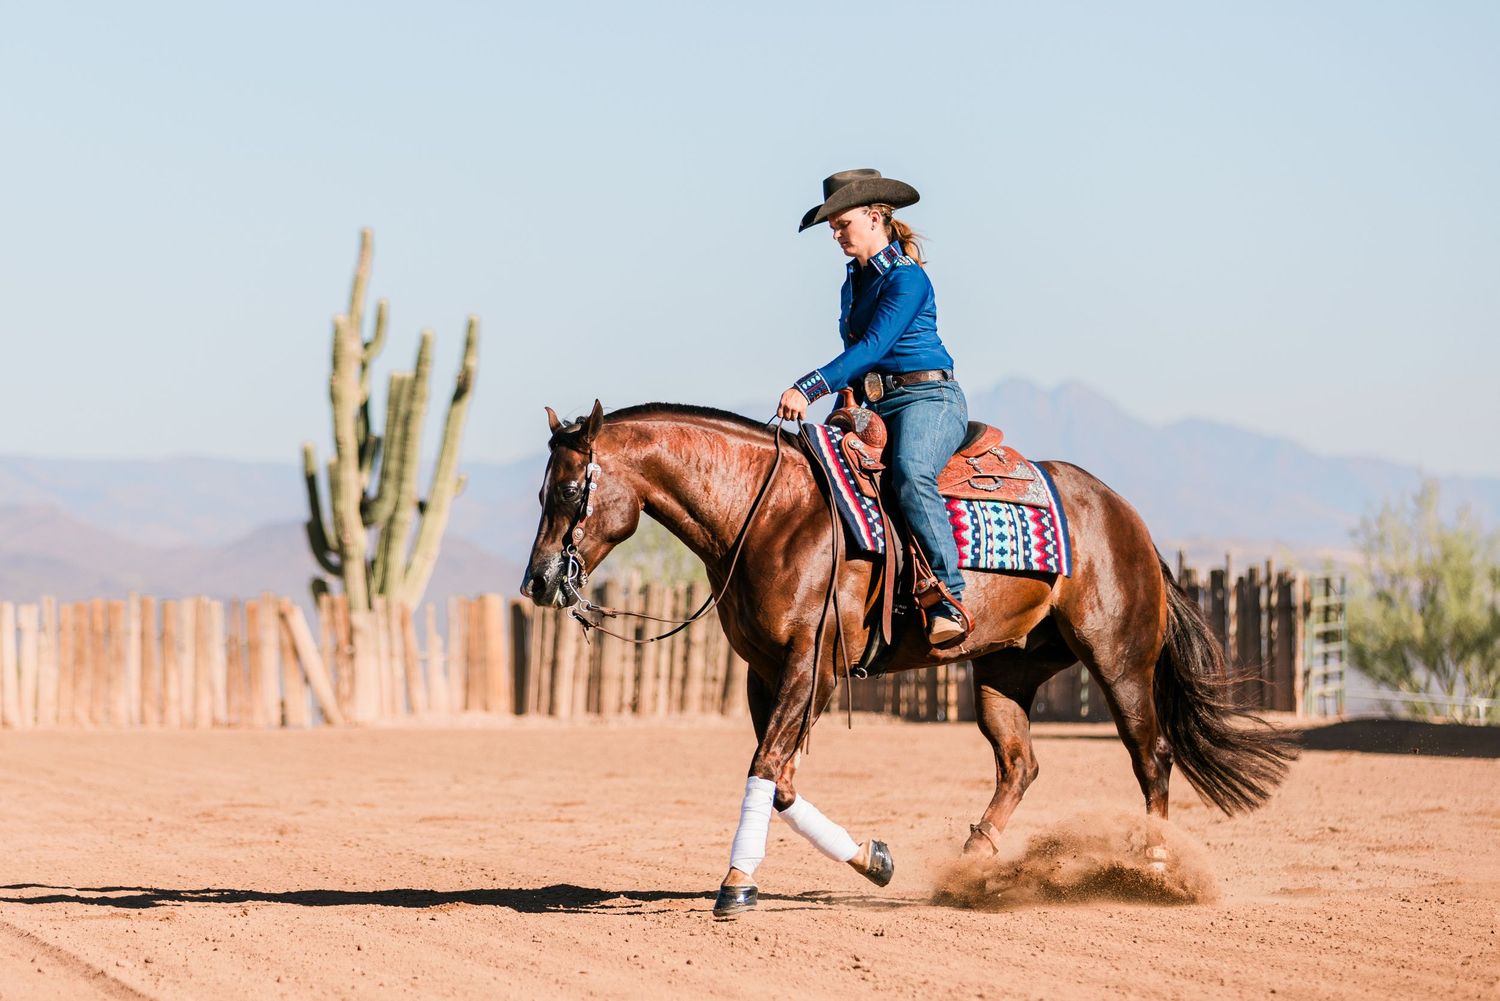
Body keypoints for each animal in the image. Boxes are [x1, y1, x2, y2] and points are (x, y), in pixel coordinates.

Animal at [521, 400, 1294, 917]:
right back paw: (974, 865)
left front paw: (736, 886)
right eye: (541, 489)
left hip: (1119, 659)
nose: (539, 580)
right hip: (1006, 671)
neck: (770, 512)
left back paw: (1156, 870)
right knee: (1020, 763)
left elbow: (767, 769)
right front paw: (874, 860)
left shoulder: (811, 668)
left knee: (1151, 756)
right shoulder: (764, 674)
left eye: (570, 489)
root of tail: (1127, 516)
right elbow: (781, 781)